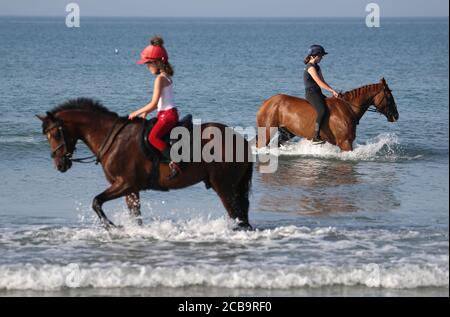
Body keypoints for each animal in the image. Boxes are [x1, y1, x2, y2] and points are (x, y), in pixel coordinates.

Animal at [37, 97, 253, 228]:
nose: (60, 164)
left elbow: (96, 202)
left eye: (56, 134)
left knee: (237, 216)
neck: (112, 138)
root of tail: (240, 139)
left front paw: (111, 226)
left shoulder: (125, 184)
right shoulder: (131, 190)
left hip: (223, 186)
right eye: (47, 136)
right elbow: (135, 216)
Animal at [255, 77, 400, 150]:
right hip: (267, 130)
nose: (396, 116)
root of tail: (266, 103)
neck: (348, 108)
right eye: (389, 96)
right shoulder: (345, 143)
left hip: (287, 132)